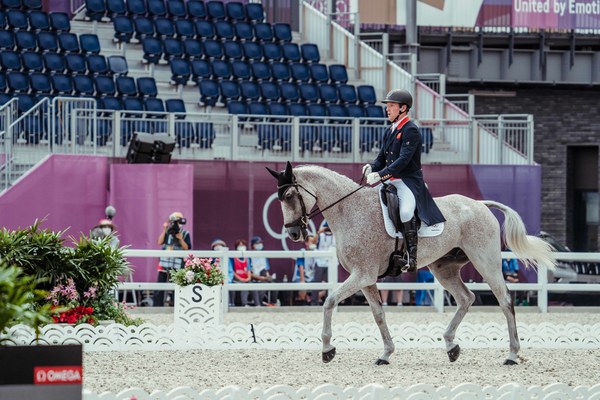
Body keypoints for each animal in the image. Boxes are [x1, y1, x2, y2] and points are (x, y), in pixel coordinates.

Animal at [268, 162, 552, 366]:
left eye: (290, 195)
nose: (293, 233)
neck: (350, 211)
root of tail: (479, 204)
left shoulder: (361, 275)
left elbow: (328, 302)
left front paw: (327, 349)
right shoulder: (367, 279)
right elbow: (379, 314)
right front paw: (386, 353)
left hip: (486, 262)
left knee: (505, 300)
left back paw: (512, 355)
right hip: (444, 268)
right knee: (466, 298)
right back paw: (451, 346)